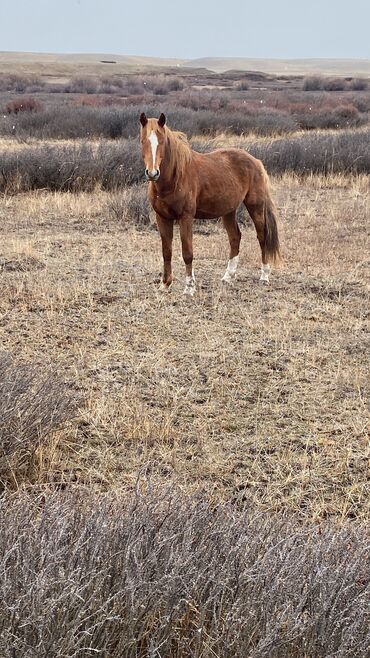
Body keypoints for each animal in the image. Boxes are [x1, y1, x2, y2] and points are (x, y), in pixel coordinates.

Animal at [139, 113, 280, 294]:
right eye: (143, 140)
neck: (174, 178)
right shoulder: (162, 218)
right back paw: (228, 276)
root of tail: (256, 161)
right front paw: (165, 284)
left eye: (162, 141)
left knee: (262, 236)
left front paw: (189, 288)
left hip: (256, 207)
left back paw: (264, 276)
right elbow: (167, 252)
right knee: (235, 237)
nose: (152, 173)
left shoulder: (186, 217)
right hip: (228, 211)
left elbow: (187, 253)